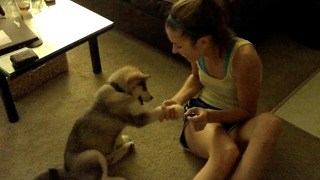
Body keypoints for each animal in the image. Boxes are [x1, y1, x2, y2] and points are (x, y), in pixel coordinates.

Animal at [33, 65, 184, 179]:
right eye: (144, 86)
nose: (152, 97)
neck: (118, 90)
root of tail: (66, 169)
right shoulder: (138, 118)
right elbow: (156, 111)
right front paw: (176, 109)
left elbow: (117, 135)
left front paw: (122, 140)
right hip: (94, 155)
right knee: (104, 175)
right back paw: (120, 178)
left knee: (110, 159)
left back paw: (127, 147)